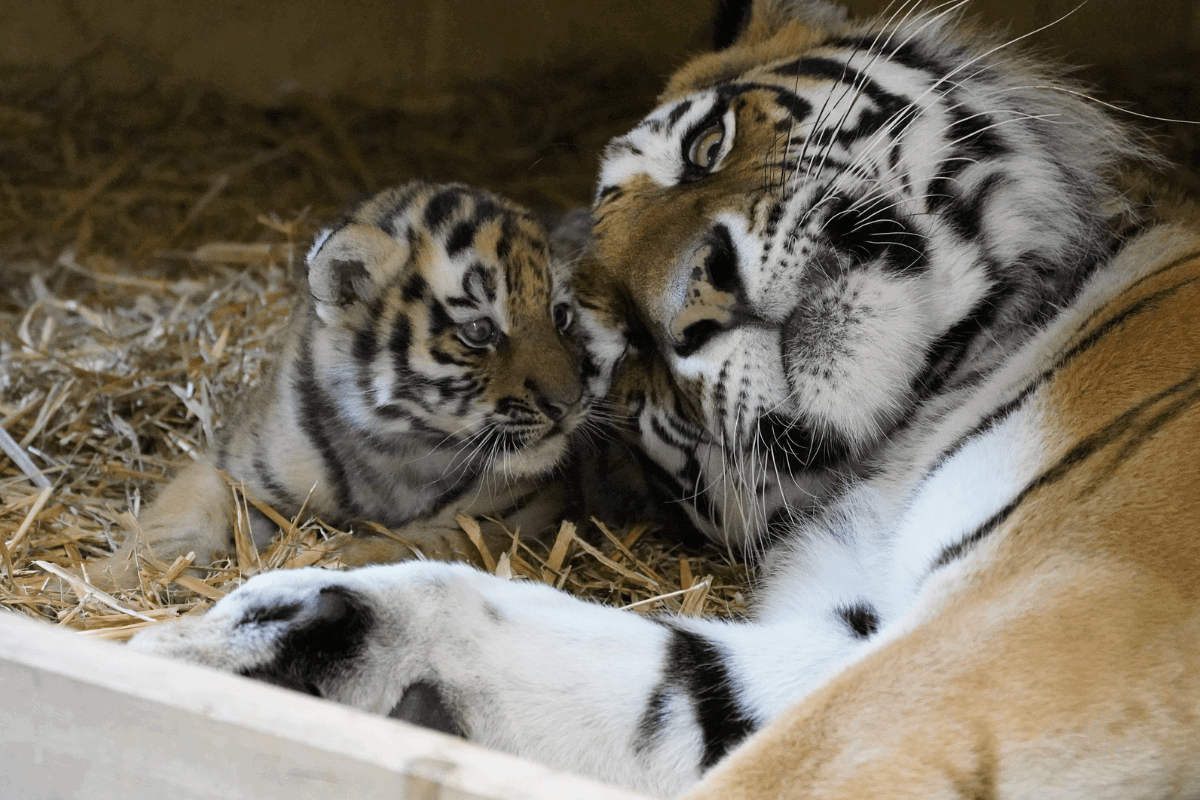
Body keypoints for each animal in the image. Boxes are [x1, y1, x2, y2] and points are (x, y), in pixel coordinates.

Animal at [89, 181, 617, 590]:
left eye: (561, 317)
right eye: (479, 330)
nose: (569, 404)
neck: (398, 449)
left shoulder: (528, 511)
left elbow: (433, 541)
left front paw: (326, 560)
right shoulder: (231, 469)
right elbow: (171, 523)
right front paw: (104, 578)